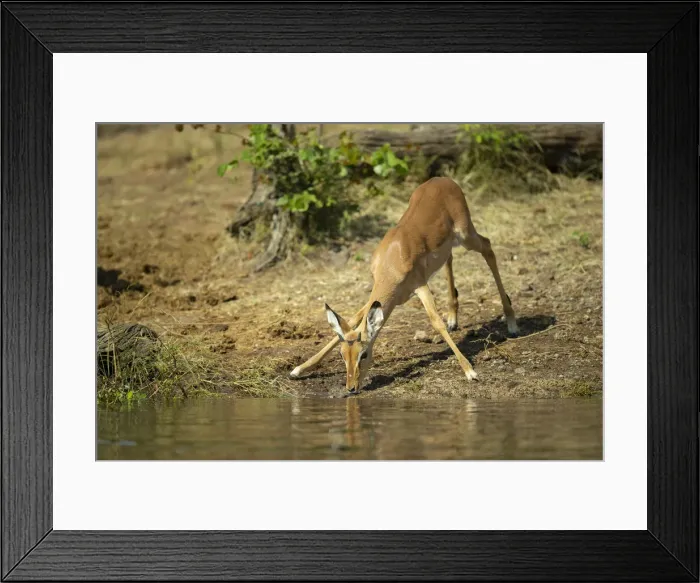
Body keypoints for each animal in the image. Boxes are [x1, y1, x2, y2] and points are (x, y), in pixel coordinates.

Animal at [289, 176, 519, 393]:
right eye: (343, 354)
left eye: (363, 354)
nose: (351, 387)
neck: (392, 260)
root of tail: (443, 179)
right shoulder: (386, 297)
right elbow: (354, 319)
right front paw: (298, 369)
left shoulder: (420, 286)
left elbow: (436, 321)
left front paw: (470, 371)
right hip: (450, 244)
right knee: (451, 258)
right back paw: (454, 318)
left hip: (466, 235)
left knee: (488, 246)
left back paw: (512, 323)